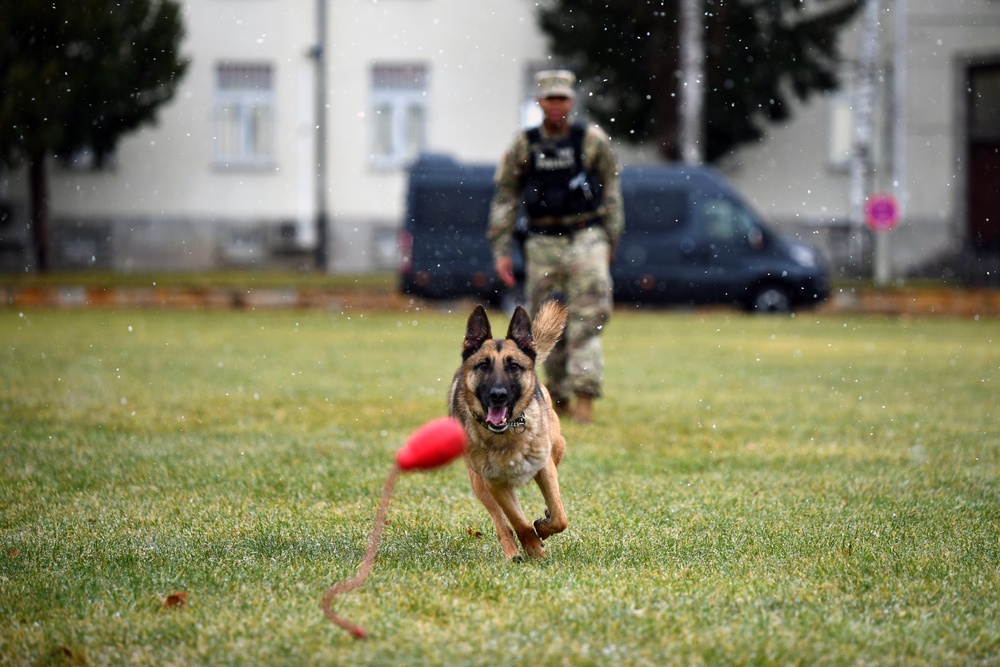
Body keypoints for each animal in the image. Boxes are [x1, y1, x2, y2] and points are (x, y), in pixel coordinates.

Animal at [448, 298, 568, 560]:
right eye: (483, 366)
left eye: (513, 366)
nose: (498, 395)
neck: (507, 435)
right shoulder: (494, 483)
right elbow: (517, 521)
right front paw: (533, 547)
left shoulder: (545, 469)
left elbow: (559, 517)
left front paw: (543, 529)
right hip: (479, 484)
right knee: (501, 522)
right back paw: (512, 552)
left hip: (557, 447)